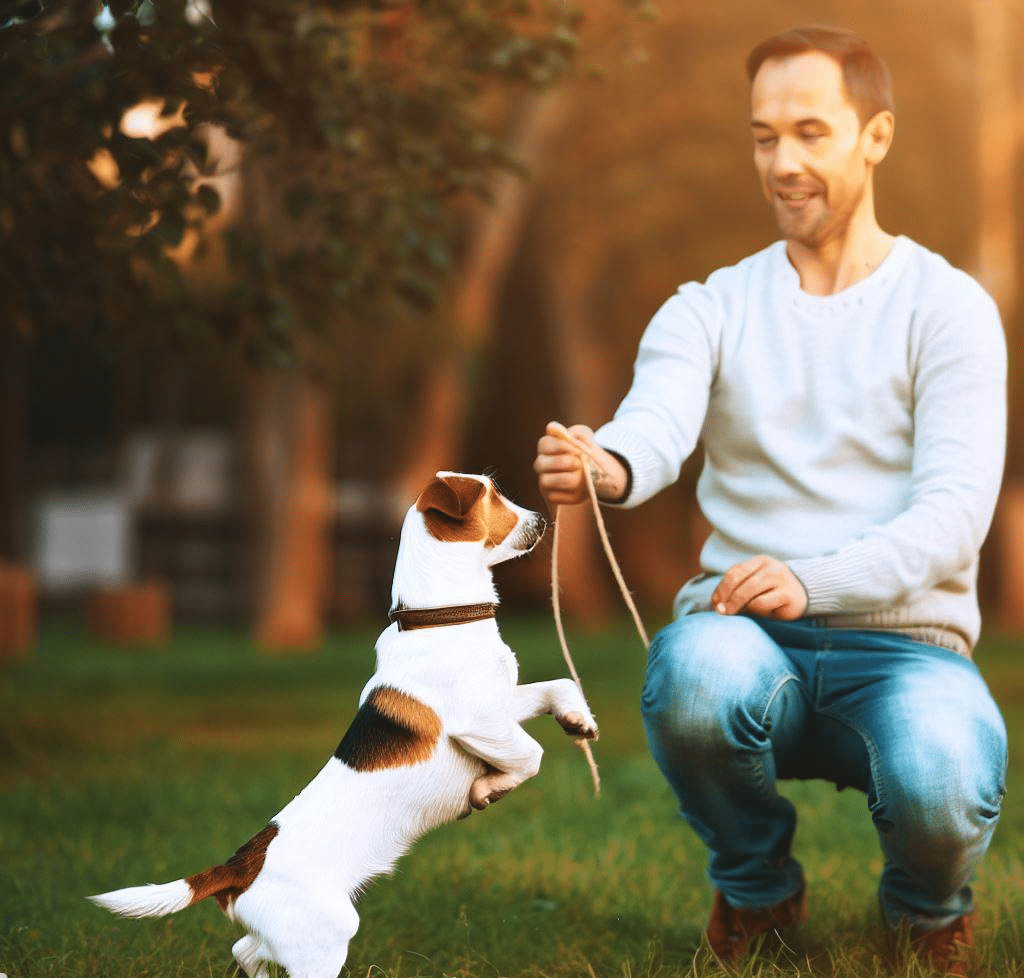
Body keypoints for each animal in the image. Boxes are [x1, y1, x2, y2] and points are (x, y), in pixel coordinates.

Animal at [90, 475, 598, 978]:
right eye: (491, 494)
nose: (543, 518)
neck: (439, 620)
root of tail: (238, 867)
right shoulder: (480, 723)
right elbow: (531, 756)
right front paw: (487, 789)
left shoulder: (503, 702)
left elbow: (560, 686)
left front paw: (579, 721)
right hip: (324, 938)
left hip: (289, 937)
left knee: (244, 951)